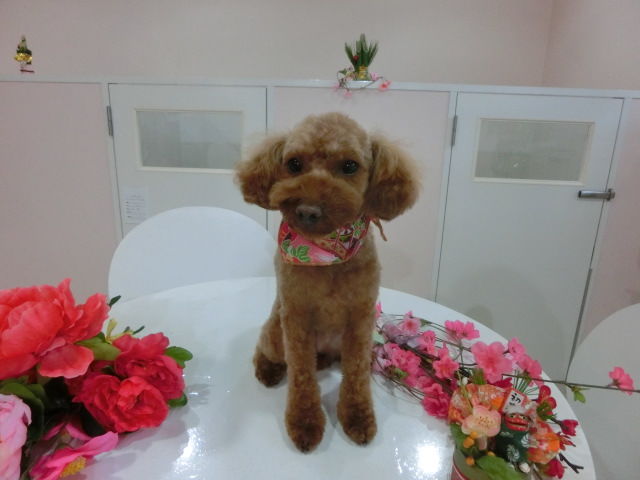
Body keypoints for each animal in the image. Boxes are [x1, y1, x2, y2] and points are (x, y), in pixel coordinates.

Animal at [235, 112, 420, 452]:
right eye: (294, 163)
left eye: (349, 166)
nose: (308, 210)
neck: (326, 255)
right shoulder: (295, 318)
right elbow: (301, 375)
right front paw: (305, 422)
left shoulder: (361, 319)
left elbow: (356, 374)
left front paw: (357, 416)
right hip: (275, 332)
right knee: (266, 349)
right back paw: (268, 369)